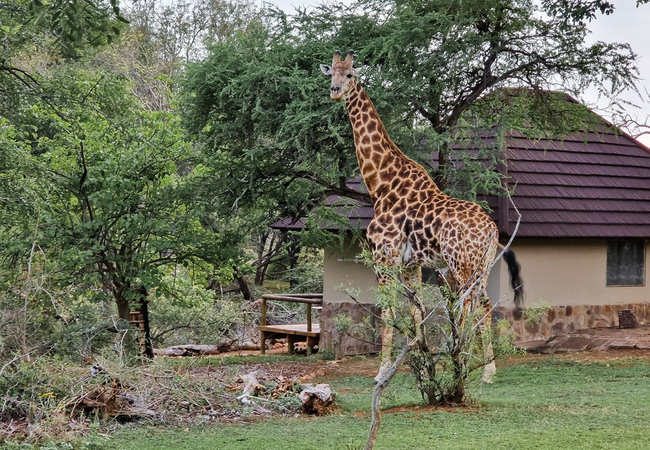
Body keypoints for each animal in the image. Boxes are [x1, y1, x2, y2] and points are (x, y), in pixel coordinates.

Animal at [318, 51, 520, 384]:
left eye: (350, 75)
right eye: (330, 73)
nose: (334, 91)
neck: (381, 184)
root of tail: (492, 229)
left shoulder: (384, 257)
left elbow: (389, 310)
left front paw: (382, 371)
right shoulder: (412, 263)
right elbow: (416, 309)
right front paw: (422, 360)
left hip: (461, 265)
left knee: (466, 305)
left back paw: (461, 363)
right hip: (482, 266)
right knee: (483, 304)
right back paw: (486, 370)